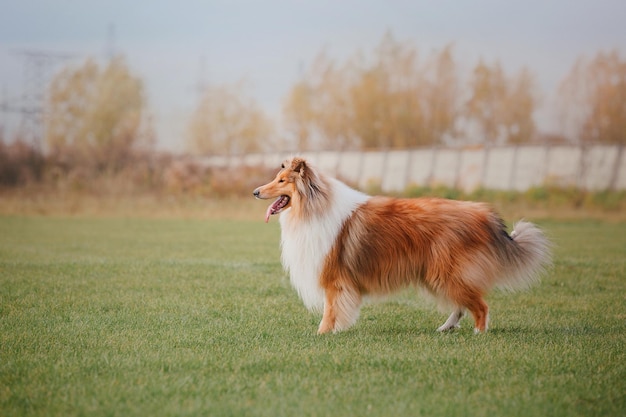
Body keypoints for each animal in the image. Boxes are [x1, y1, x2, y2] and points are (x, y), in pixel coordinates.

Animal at [251, 157, 548, 334]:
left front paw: (322, 334)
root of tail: (484, 215)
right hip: (441, 274)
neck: (314, 206)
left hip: (446, 272)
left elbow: (330, 310)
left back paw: (479, 333)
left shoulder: (334, 279)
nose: (255, 191)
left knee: (480, 306)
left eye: (281, 181)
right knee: (463, 304)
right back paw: (445, 328)